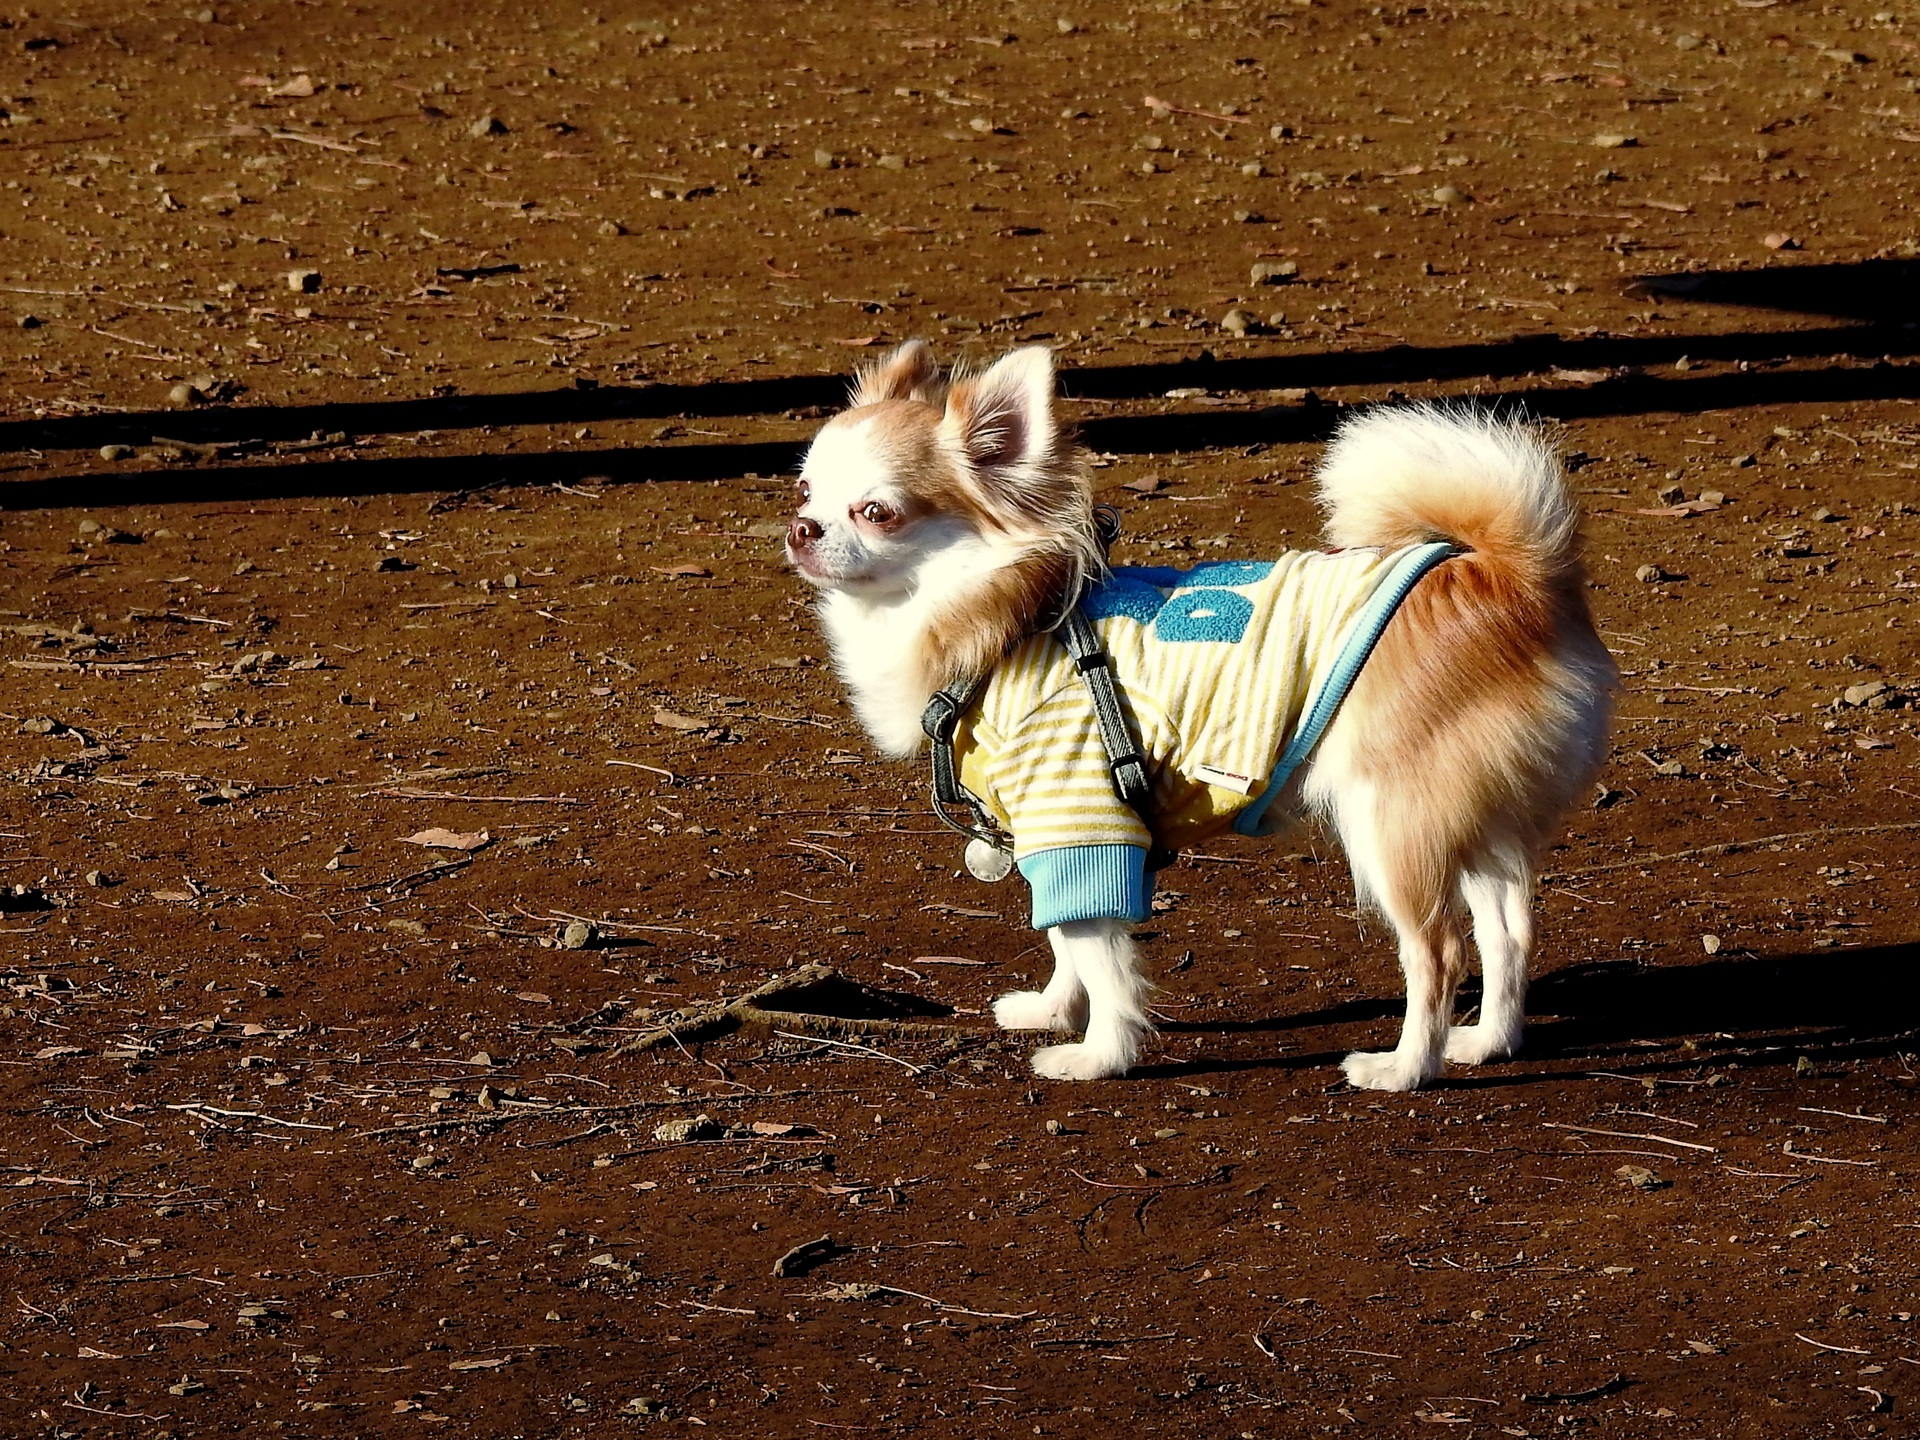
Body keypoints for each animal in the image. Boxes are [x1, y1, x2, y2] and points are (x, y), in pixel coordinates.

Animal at [787, 343, 1612, 1090]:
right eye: (803, 491)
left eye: (877, 512)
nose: (802, 529)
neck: (1006, 622)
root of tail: (1516, 582)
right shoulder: (1047, 834)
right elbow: (1061, 938)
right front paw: (1054, 1010)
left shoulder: (1083, 818)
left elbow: (1098, 951)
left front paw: (1100, 1054)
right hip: (1473, 821)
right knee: (1508, 931)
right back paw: (1487, 1042)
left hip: (1390, 820)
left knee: (1438, 951)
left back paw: (1405, 1068)